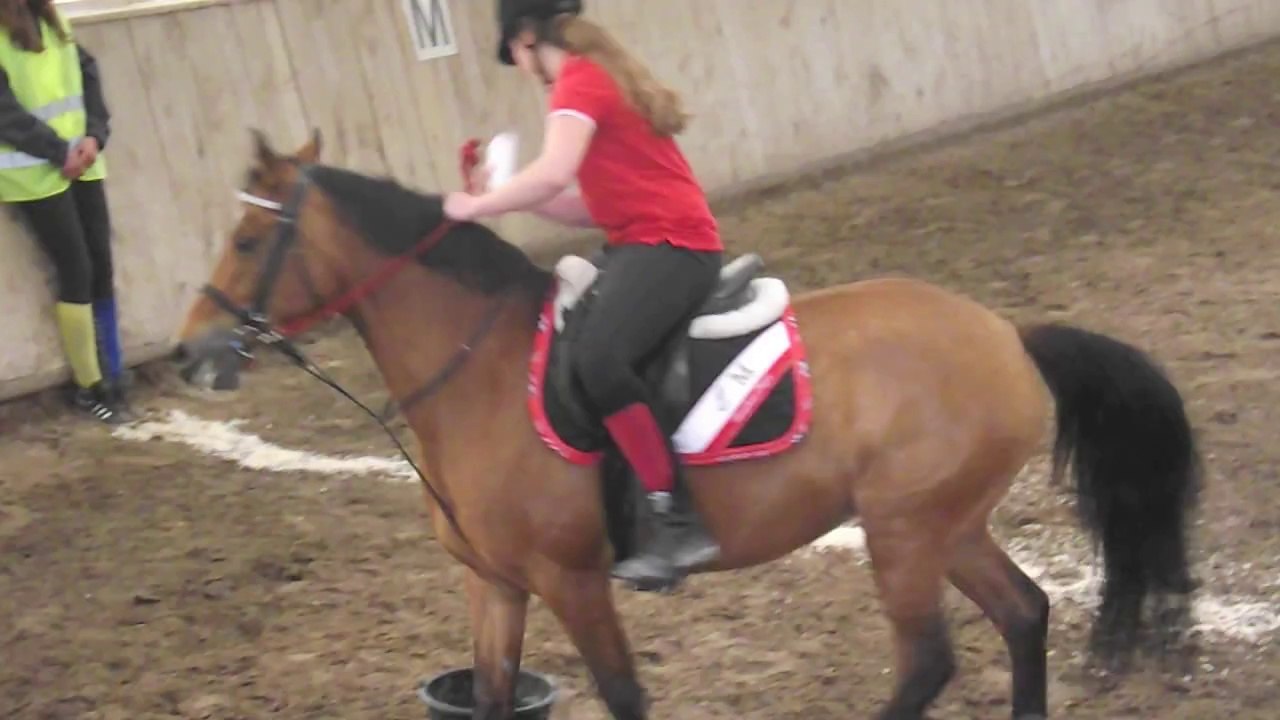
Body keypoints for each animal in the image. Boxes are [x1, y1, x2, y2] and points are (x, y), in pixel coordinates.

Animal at [174, 129, 1202, 720]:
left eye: (250, 240)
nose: (191, 354)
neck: (480, 373)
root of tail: (1006, 334)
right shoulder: (494, 587)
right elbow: (495, 695)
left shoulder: (573, 582)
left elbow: (626, 696)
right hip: (942, 524)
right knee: (1024, 615)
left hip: (907, 534)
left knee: (928, 664)